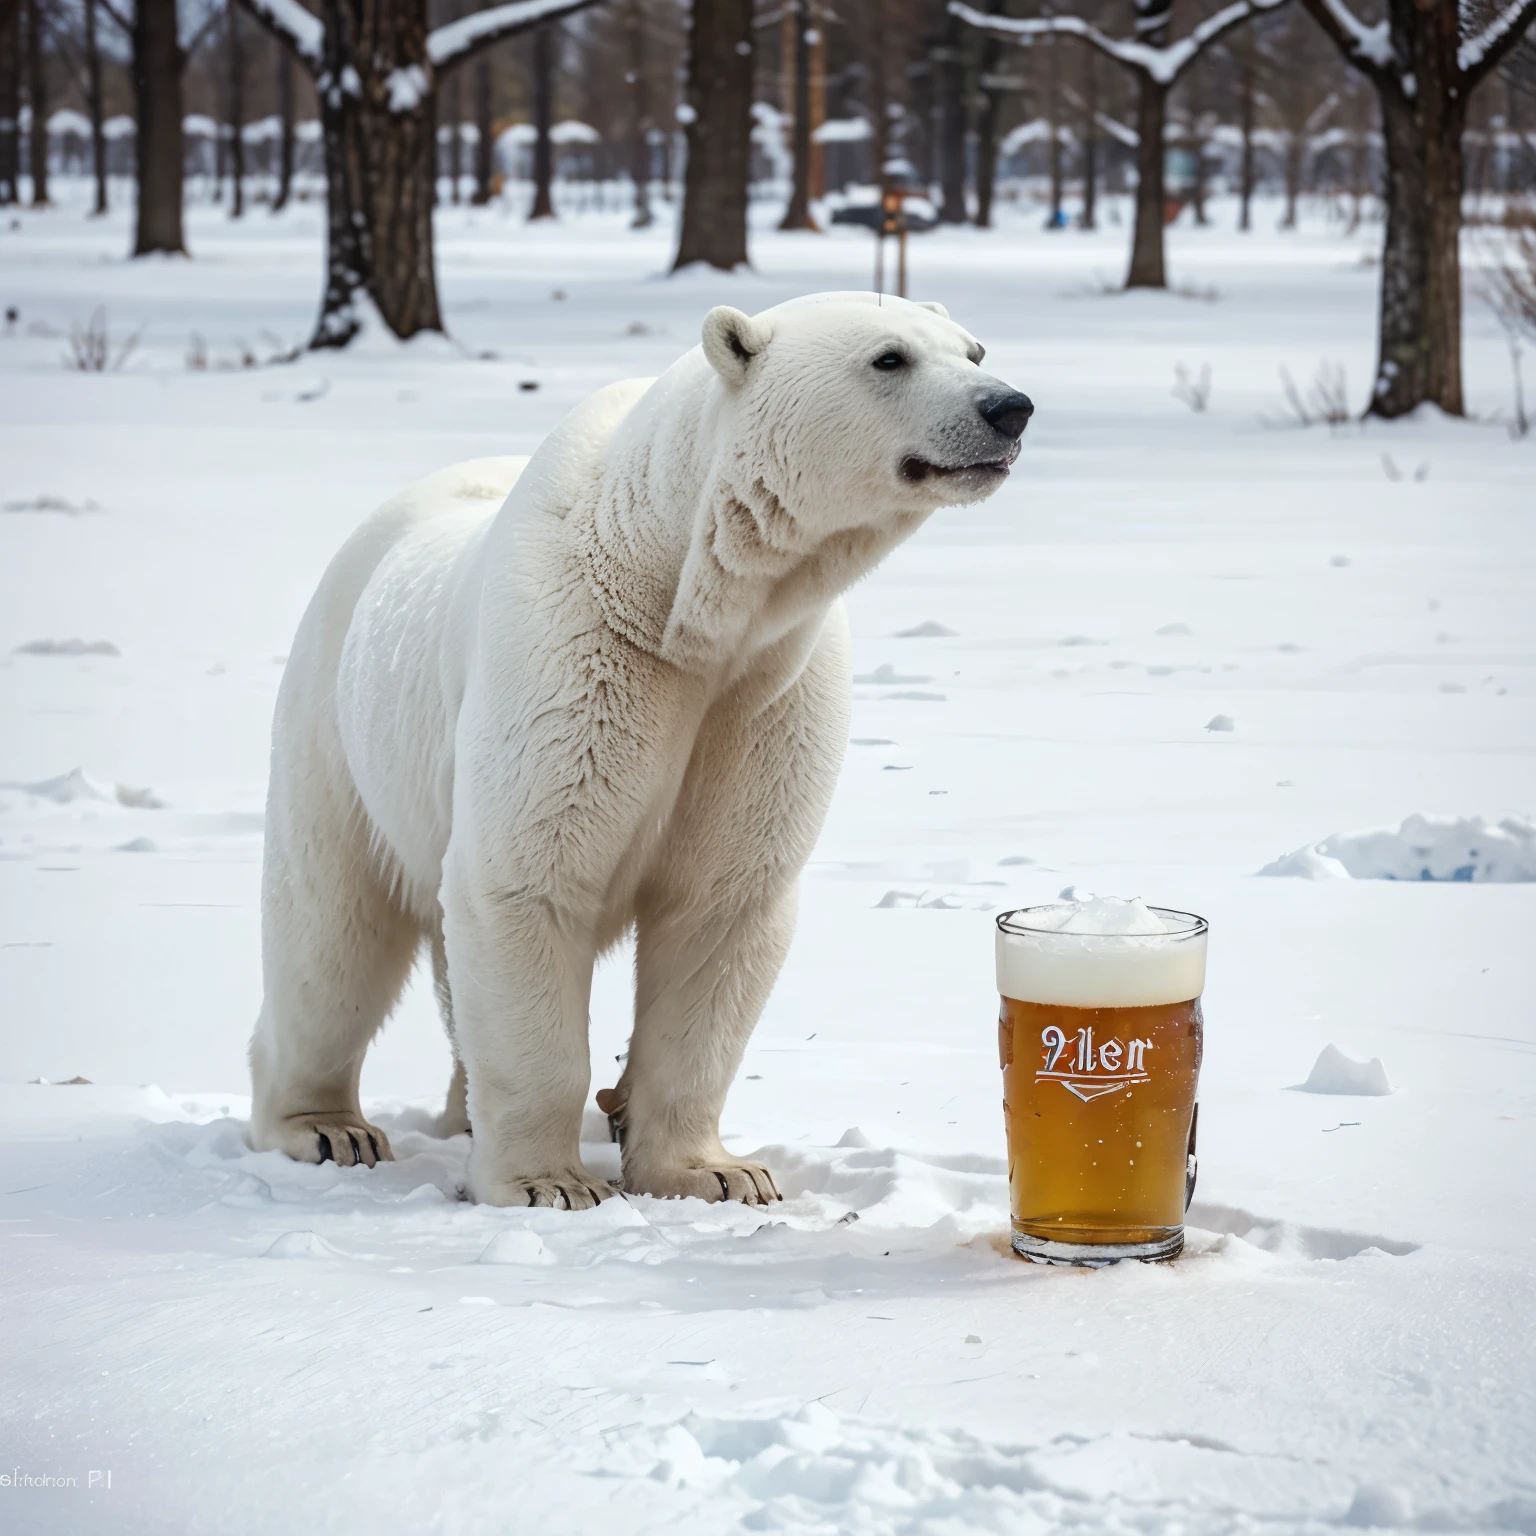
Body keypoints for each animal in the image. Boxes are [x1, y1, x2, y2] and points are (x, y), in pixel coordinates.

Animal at [248, 293, 1032, 1204]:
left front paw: (717, 1173)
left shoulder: (768, 691)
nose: (1009, 407)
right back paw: (326, 1127)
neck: (673, 578)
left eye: (974, 350)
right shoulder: (574, 660)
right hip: (338, 733)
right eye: (890, 357)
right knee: (331, 934)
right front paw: (546, 1183)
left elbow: (720, 909)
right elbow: (529, 876)